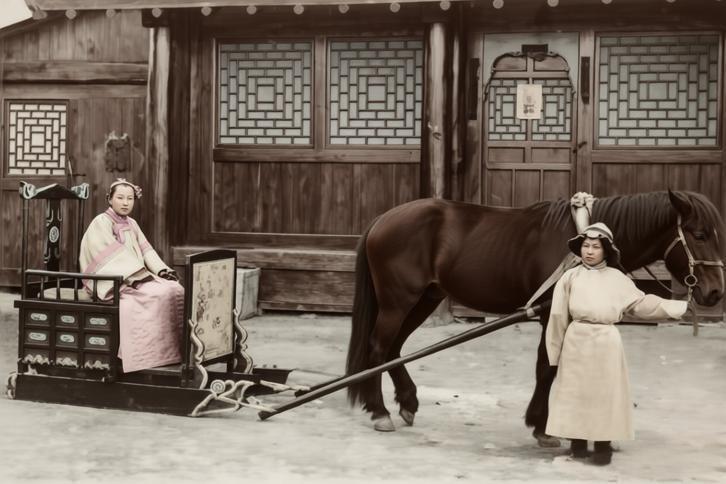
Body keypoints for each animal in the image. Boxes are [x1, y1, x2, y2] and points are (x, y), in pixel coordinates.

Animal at [345, 190, 725, 436]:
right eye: (699, 234)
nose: (715, 291)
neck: (580, 242)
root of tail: (383, 218)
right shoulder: (550, 315)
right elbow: (547, 367)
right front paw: (541, 425)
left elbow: (551, 367)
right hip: (399, 300)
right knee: (379, 347)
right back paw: (379, 411)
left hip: (423, 298)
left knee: (392, 349)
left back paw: (407, 402)